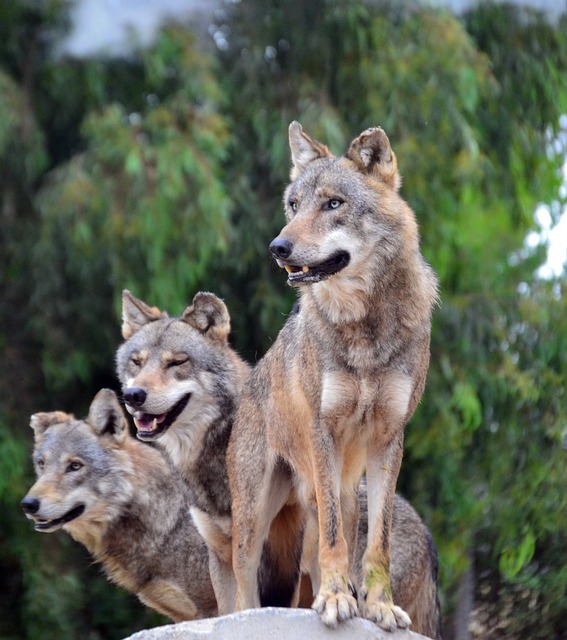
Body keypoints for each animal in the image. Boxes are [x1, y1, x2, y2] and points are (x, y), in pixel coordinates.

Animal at [229, 120, 442, 632]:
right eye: (293, 205)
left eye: (333, 204)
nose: (278, 247)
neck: (364, 331)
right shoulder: (321, 431)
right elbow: (332, 543)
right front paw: (334, 600)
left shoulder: (389, 440)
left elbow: (378, 542)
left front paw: (379, 606)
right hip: (252, 523)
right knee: (243, 589)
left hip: (343, 493)